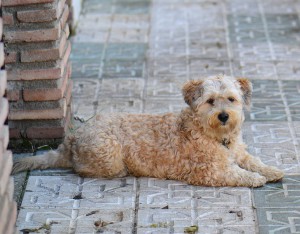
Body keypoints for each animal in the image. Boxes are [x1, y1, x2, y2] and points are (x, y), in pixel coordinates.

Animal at [11, 75, 284, 186]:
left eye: (231, 99)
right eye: (210, 101)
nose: (224, 116)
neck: (216, 136)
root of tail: (72, 138)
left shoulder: (240, 153)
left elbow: (254, 161)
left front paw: (271, 170)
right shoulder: (209, 172)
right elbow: (237, 174)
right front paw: (255, 178)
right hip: (109, 153)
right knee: (84, 169)